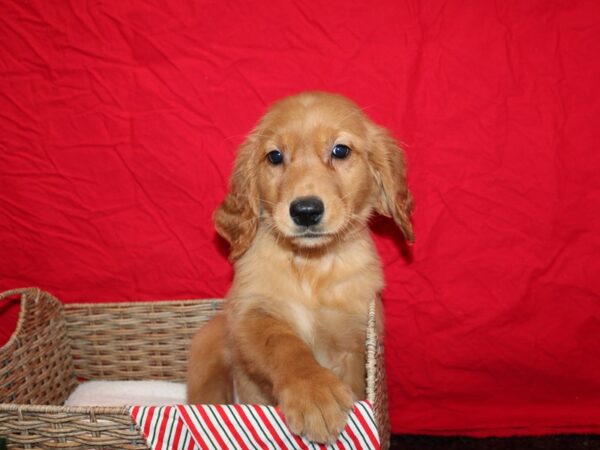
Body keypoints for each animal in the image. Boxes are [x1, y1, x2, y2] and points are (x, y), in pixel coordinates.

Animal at [188, 91, 412, 442]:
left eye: (340, 150)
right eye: (275, 156)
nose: (305, 211)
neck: (311, 267)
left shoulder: (356, 335)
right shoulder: (251, 314)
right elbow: (282, 342)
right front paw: (314, 391)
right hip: (208, 343)